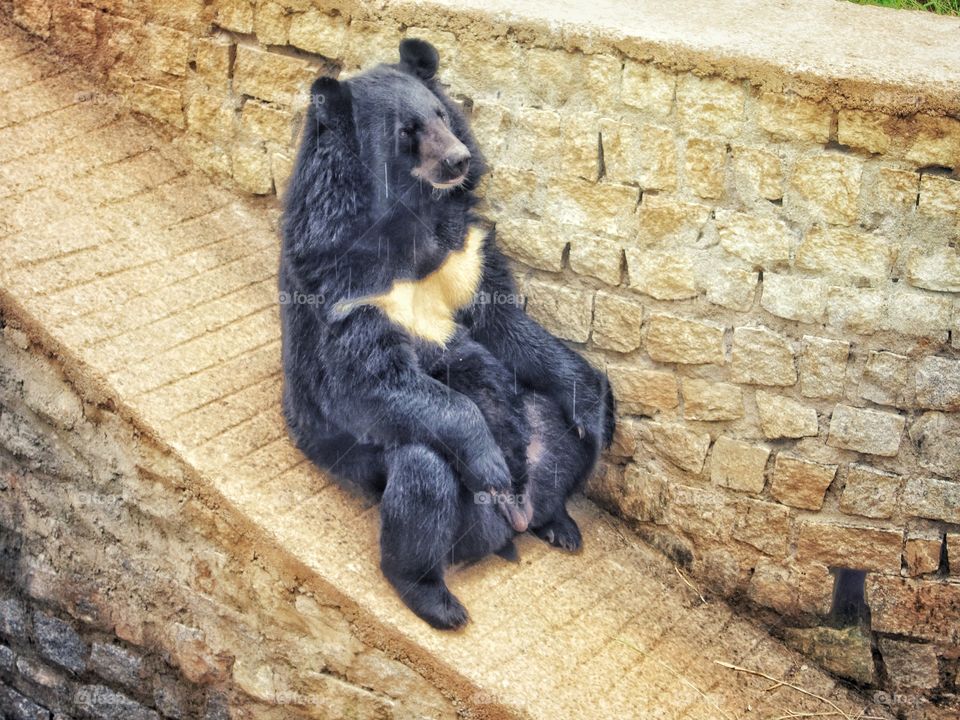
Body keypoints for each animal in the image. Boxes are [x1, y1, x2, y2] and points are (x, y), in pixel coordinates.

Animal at [279, 38, 615, 630]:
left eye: (442, 115)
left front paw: (593, 404)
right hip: (399, 477)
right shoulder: (344, 281)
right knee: (423, 480)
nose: (458, 160)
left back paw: (561, 523)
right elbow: (371, 378)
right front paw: (488, 463)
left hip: (537, 438)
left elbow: (505, 326)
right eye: (407, 131)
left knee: (558, 440)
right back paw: (438, 600)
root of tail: (510, 524)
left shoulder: (463, 253)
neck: (409, 217)